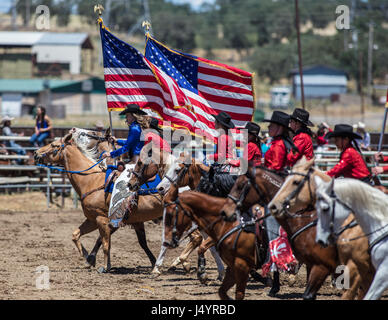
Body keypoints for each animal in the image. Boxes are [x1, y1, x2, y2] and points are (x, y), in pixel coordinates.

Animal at [32, 132, 162, 272]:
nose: (35, 153)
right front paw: (88, 258)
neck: (91, 180)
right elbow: (77, 235)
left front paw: (104, 266)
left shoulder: (102, 219)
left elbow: (105, 243)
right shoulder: (95, 219)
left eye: (53, 145)